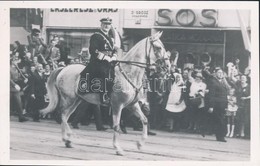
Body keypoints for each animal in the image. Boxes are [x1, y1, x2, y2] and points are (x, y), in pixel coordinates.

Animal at [40, 31, 171, 156]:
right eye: (158, 47)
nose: (168, 66)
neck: (129, 74)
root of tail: (63, 69)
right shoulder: (117, 105)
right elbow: (116, 126)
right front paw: (118, 148)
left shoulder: (132, 105)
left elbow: (144, 120)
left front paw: (140, 144)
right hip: (69, 99)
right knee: (62, 115)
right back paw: (68, 137)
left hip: (77, 100)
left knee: (65, 116)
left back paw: (67, 140)